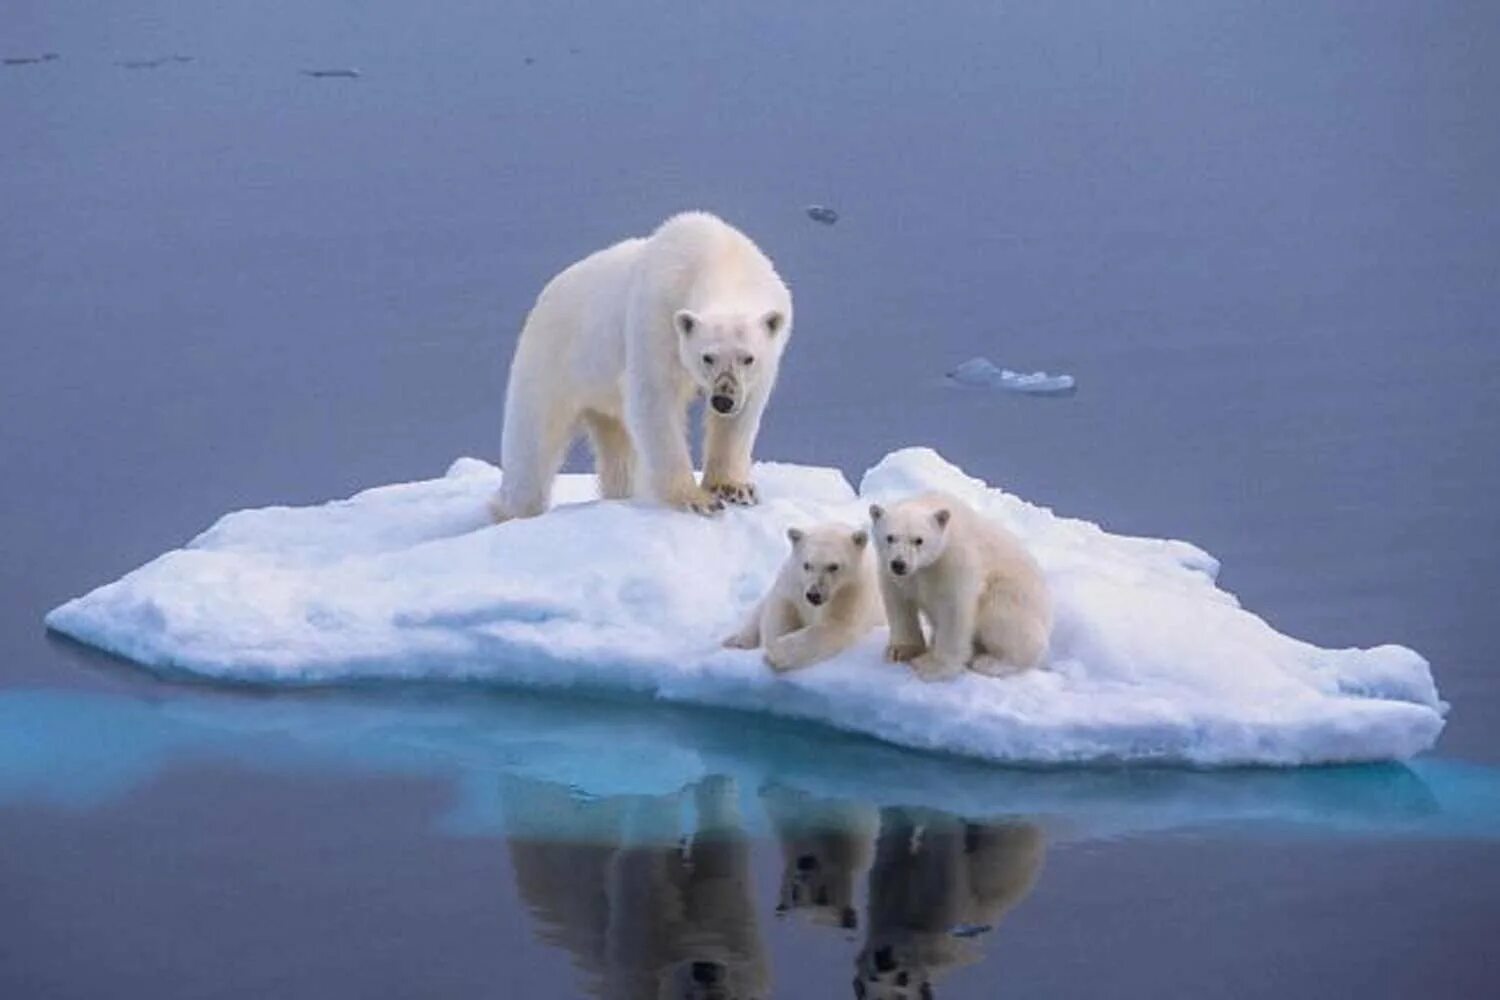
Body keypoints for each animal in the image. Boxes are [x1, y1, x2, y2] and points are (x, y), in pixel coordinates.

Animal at [492, 212, 798, 524]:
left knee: (619, 451)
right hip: (551, 362)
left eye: (748, 358)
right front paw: (698, 500)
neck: (720, 258)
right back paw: (510, 511)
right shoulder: (656, 317)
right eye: (707, 357)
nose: (723, 400)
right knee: (532, 444)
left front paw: (735, 489)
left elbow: (741, 417)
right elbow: (655, 400)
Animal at [723, 524, 882, 671]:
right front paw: (770, 642)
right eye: (807, 565)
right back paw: (736, 641)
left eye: (833, 566)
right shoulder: (794, 583)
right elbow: (781, 610)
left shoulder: (851, 591)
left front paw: (776, 653)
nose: (814, 595)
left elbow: (836, 626)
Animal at [870, 491, 1056, 680]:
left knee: (1005, 623)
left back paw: (990, 662)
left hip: (1013, 596)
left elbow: (954, 609)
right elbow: (898, 603)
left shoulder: (953, 560)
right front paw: (900, 651)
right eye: (890, 537)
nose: (899, 564)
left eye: (918, 540)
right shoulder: (894, 573)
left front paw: (934, 667)